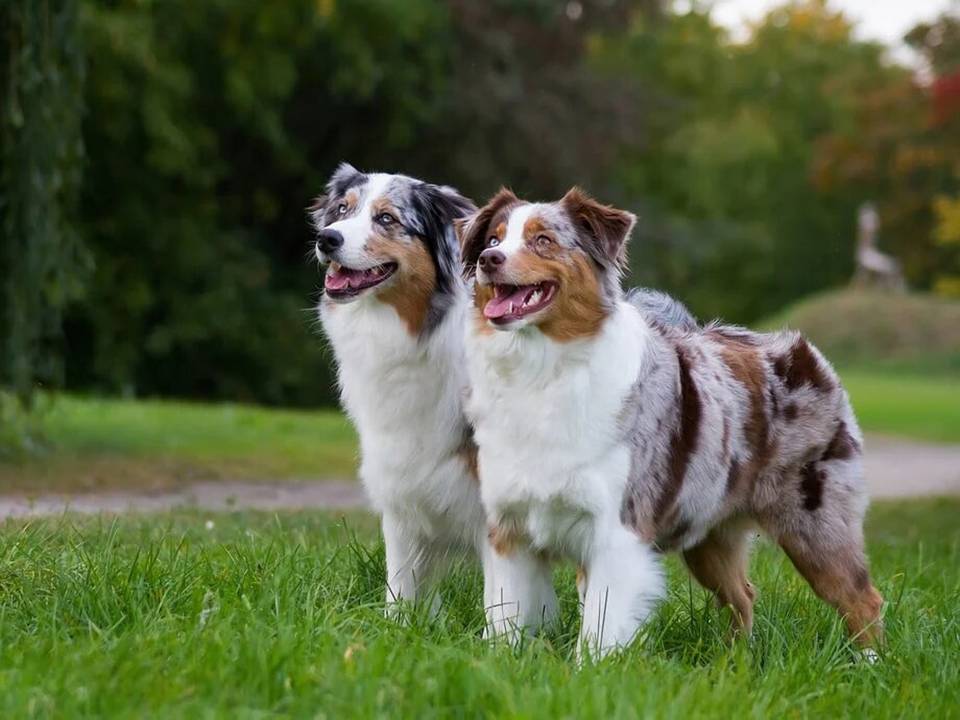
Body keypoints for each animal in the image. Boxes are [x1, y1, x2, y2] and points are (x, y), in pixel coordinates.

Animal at [310, 165, 488, 612]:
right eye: (342, 210)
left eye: (387, 218)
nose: (326, 238)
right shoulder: (401, 484)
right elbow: (400, 583)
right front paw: (396, 624)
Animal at [460, 187, 884, 660]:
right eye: (493, 239)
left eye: (543, 240)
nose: (489, 260)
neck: (542, 369)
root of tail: (805, 354)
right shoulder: (510, 529)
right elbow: (507, 616)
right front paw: (498, 661)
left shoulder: (618, 529)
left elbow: (601, 627)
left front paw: (590, 669)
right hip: (709, 532)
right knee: (743, 594)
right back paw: (734, 661)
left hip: (815, 524)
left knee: (861, 598)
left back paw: (869, 666)